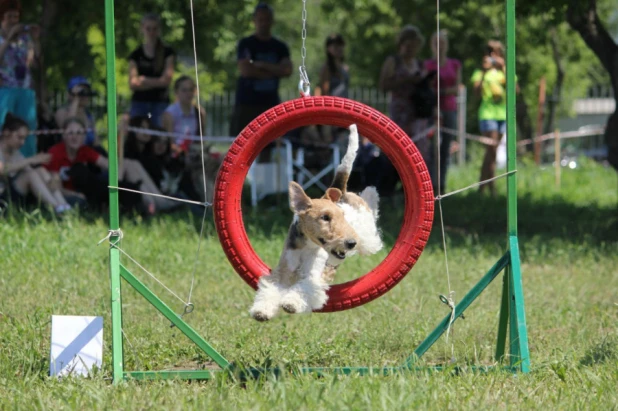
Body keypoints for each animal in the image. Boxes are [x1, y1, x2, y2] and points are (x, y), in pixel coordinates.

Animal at [248, 183, 358, 322]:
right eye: (325, 217)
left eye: (343, 215)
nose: (351, 243)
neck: (307, 246)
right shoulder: (283, 270)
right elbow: (271, 288)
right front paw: (261, 311)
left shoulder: (313, 275)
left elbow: (303, 287)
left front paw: (290, 303)